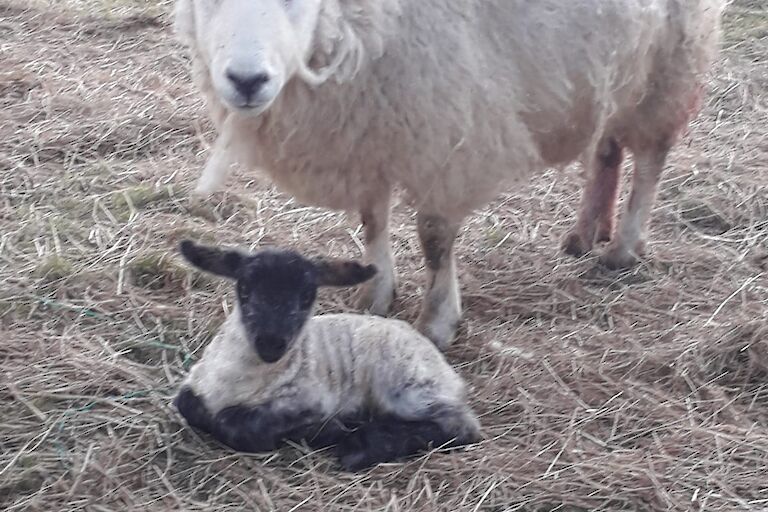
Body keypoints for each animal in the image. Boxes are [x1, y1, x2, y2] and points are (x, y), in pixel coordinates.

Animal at [174, 0, 728, 348]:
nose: (247, 81)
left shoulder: (443, 128)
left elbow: (434, 238)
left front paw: (437, 320)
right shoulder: (371, 126)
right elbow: (372, 220)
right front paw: (374, 293)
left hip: (668, 63)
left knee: (650, 159)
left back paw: (623, 247)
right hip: (615, 67)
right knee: (608, 148)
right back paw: (586, 232)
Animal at [174, 240, 480, 472]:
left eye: (307, 296)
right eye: (244, 288)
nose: (271, 343)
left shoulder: (309, 401)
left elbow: (235, 422)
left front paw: (326, 430)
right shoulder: (194, 384)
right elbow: (187, 405)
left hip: (406, 385)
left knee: (461, 426)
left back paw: (361, 448)